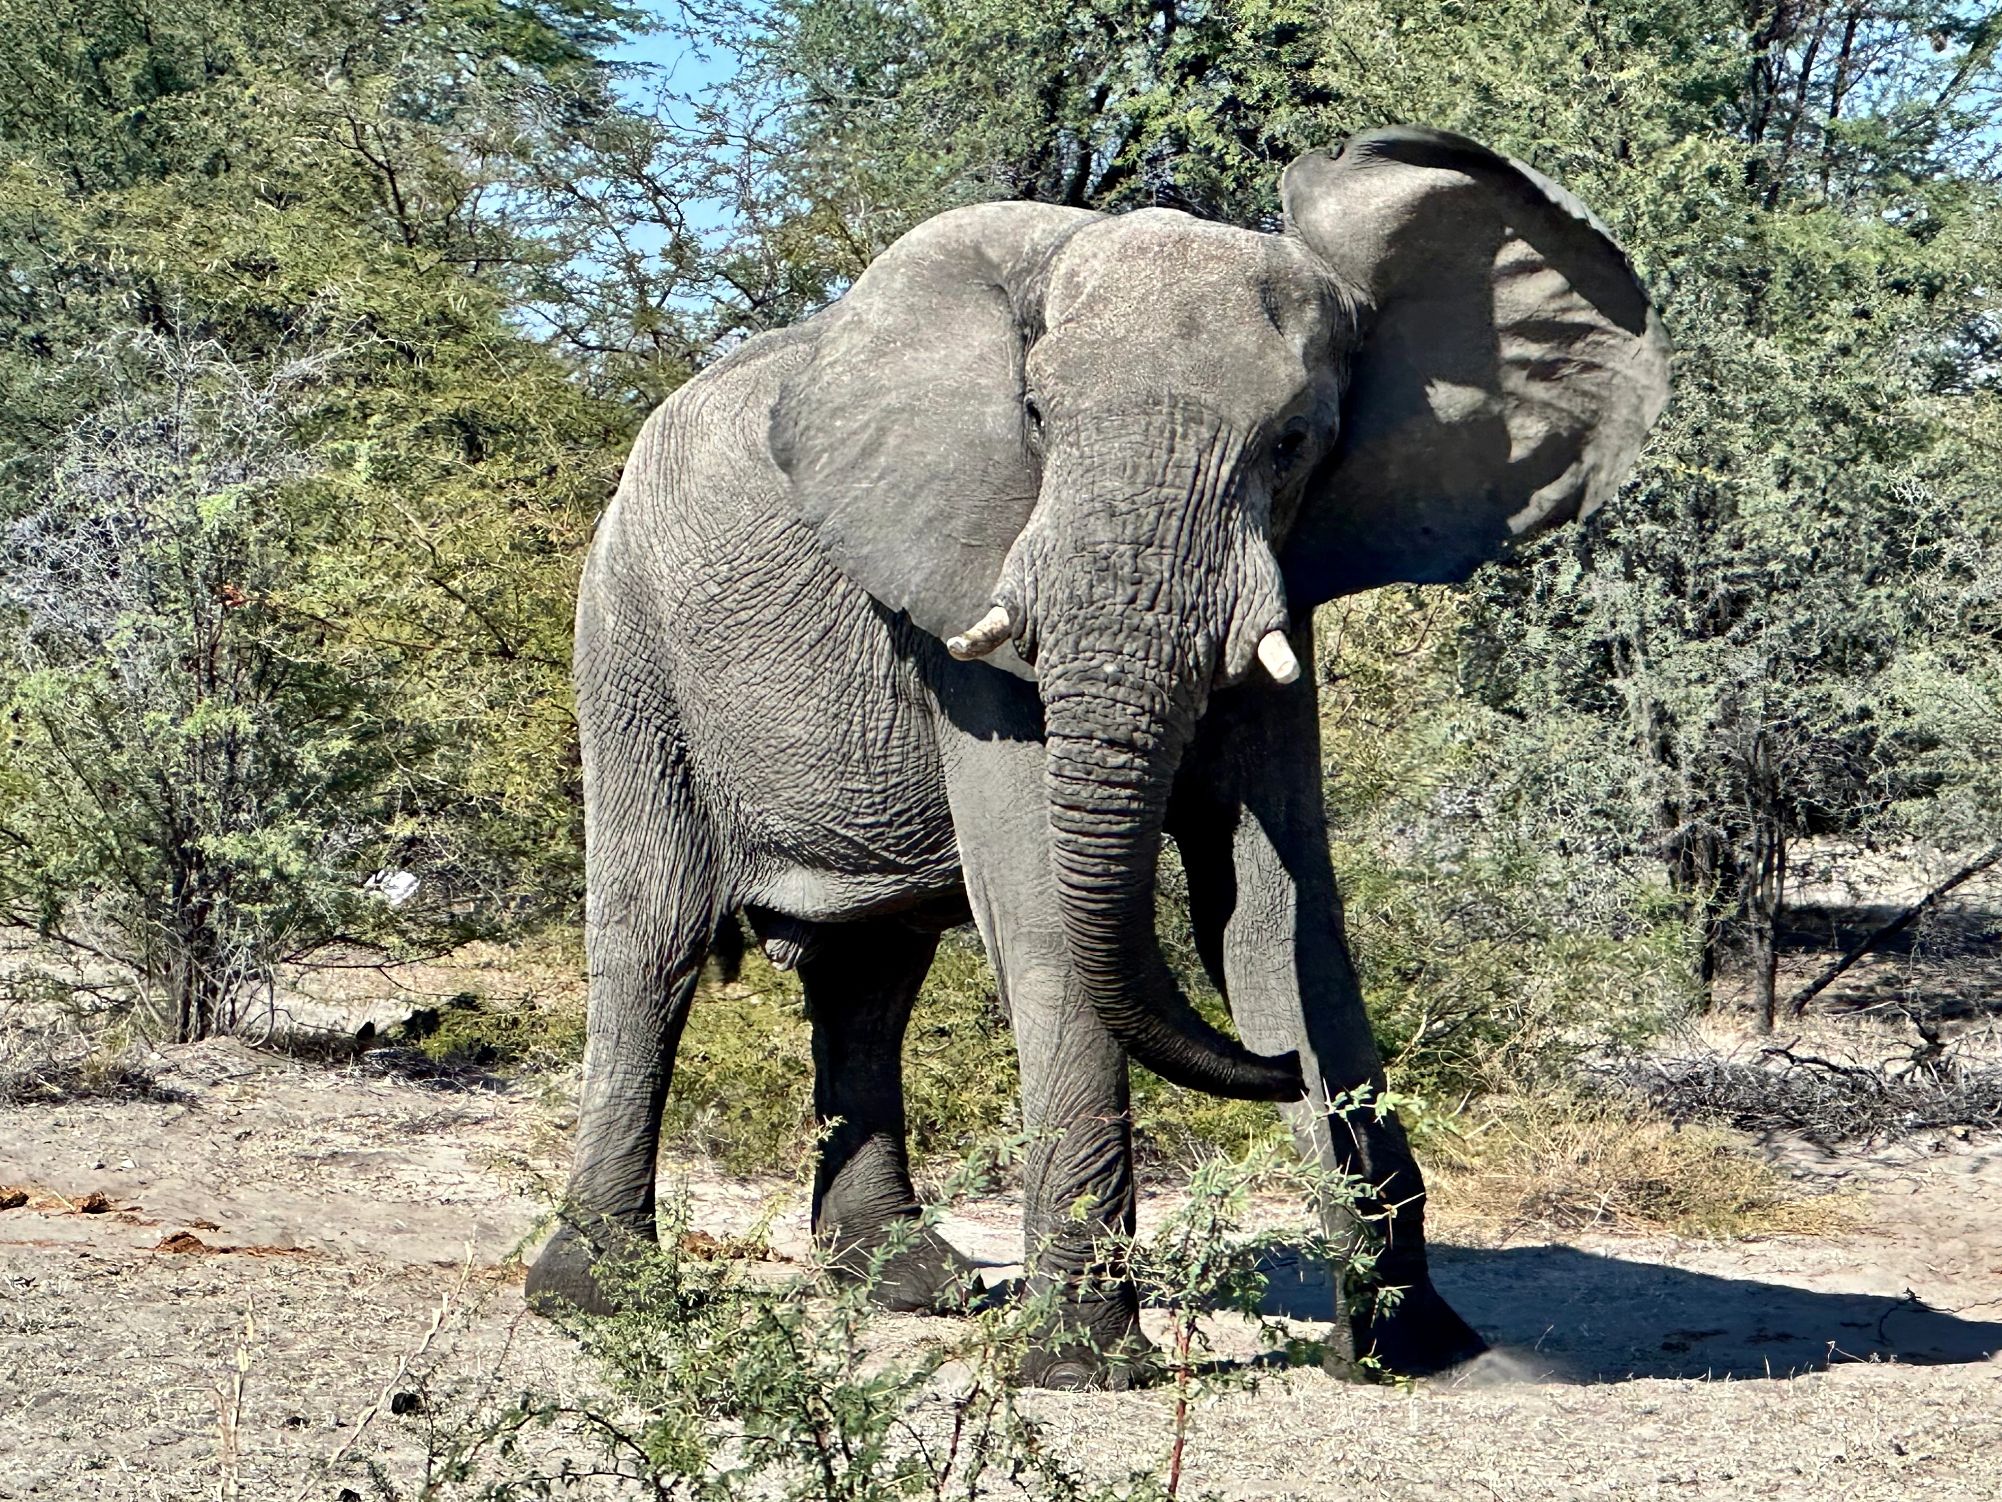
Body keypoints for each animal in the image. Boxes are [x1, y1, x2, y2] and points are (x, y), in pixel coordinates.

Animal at [524, 125, 1671, 1386]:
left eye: (1291, 444)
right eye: (1033, 417)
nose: (1277, 1064)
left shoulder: (1285, 582)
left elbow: (1275, 911)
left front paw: (1415, 1348)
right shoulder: (975, 592)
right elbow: (1043, 909)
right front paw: (1078, 1366)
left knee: (873, 969)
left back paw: (909, 1287)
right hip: (627, 632)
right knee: (654, 938)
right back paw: (598, 1297)